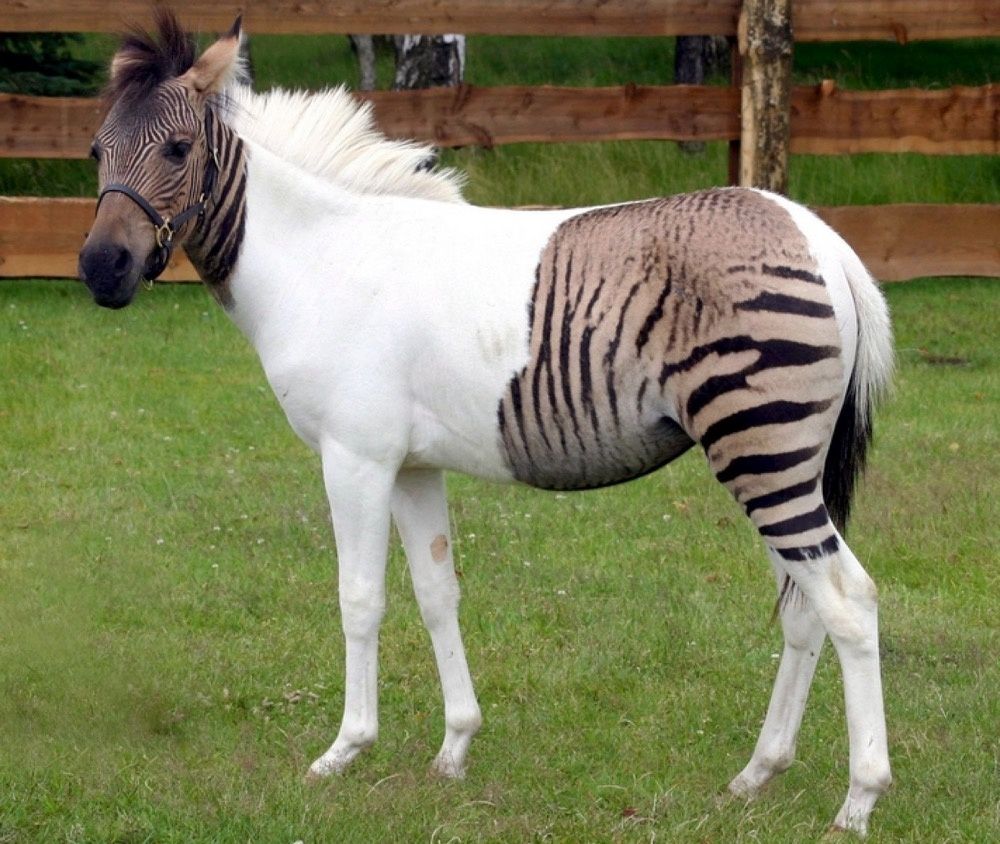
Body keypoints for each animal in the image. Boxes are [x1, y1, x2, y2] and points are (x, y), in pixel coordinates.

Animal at [78, 11, 894, 835]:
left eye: (179, 149)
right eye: (94, 151)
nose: (100, 270)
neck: (319, 262)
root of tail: (816, 235)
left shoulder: (355, 457)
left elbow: (359, 600)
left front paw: (344, 751)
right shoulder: (412, 465)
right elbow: (438, 593)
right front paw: (454, 749)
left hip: (761, 449)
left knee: (849, 602)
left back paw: (858, 799)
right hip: (781, 458)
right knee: (805, 609)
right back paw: (757, 774)